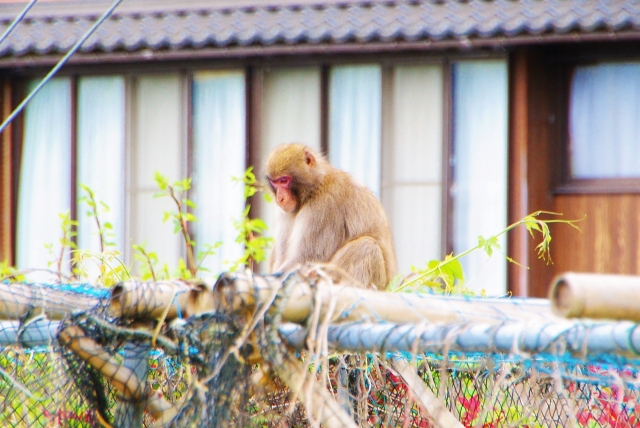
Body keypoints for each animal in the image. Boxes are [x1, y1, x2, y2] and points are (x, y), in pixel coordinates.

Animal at [264, 142, 396, 290]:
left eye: (284, 180)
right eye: (274, 182)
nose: (280, 198)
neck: (315, 187)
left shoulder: (324, 206)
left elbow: (307, 259)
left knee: (366, 246)